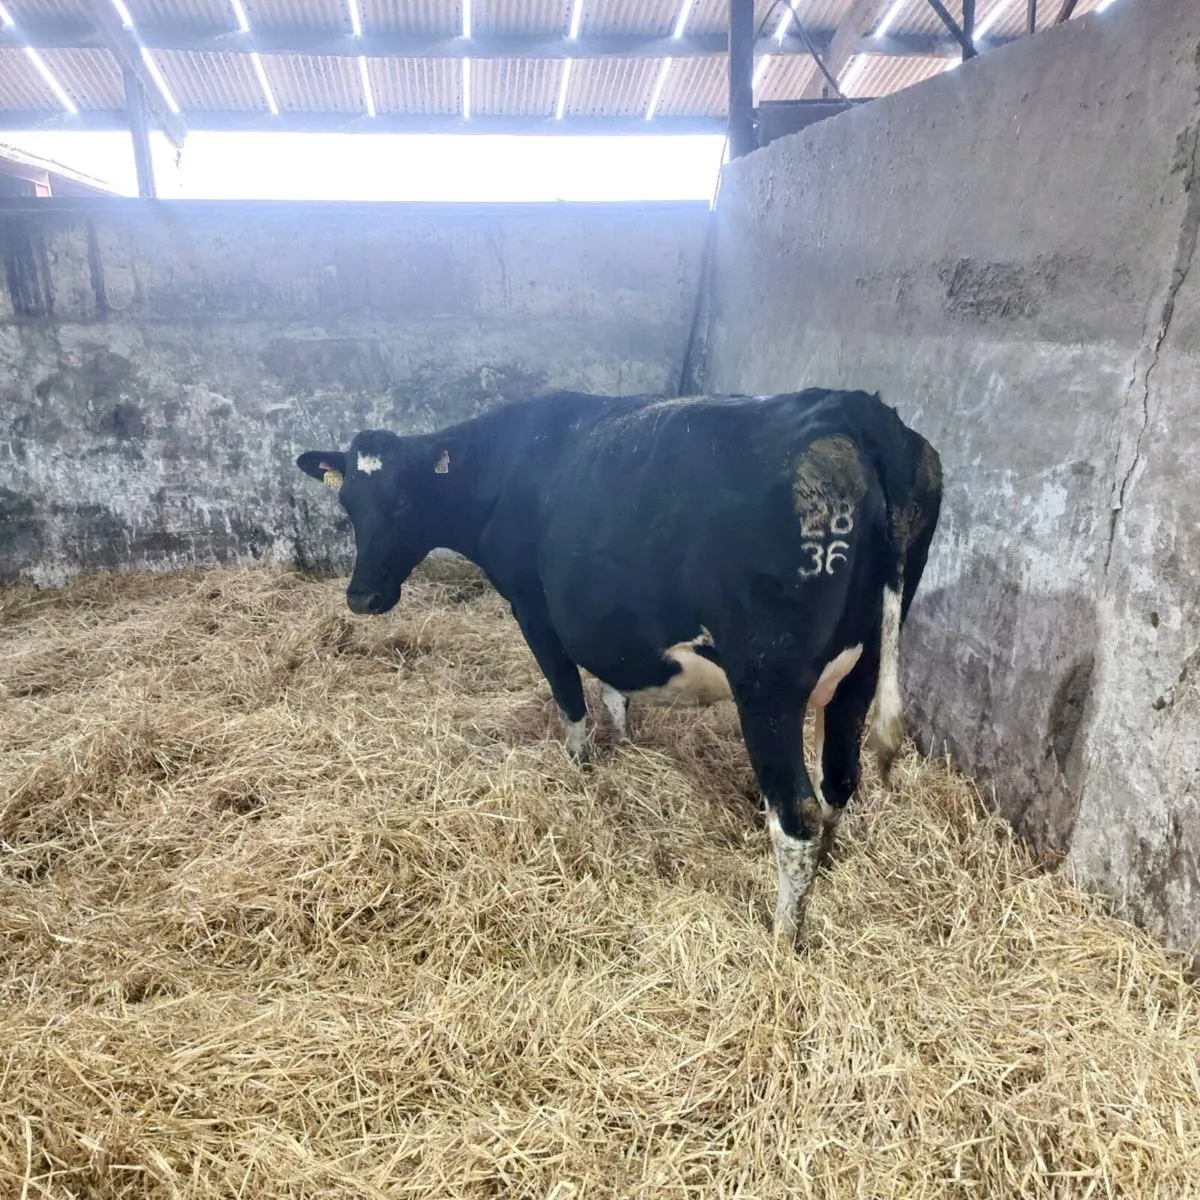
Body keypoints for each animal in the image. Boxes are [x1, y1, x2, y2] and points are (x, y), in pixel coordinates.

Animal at [296, 388, 942, 942]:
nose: (362, 597)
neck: (506, 464)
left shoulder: (534, 610)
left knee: (795, 817)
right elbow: (614, 686)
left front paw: (581, 770)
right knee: (839, 782)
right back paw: (827, 872)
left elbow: (570, 698)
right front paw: (627, 742)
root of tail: (854, 410)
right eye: (348, 502)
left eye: (404, 501)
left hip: (768, 683)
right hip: (860, 671)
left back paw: (784, 938)